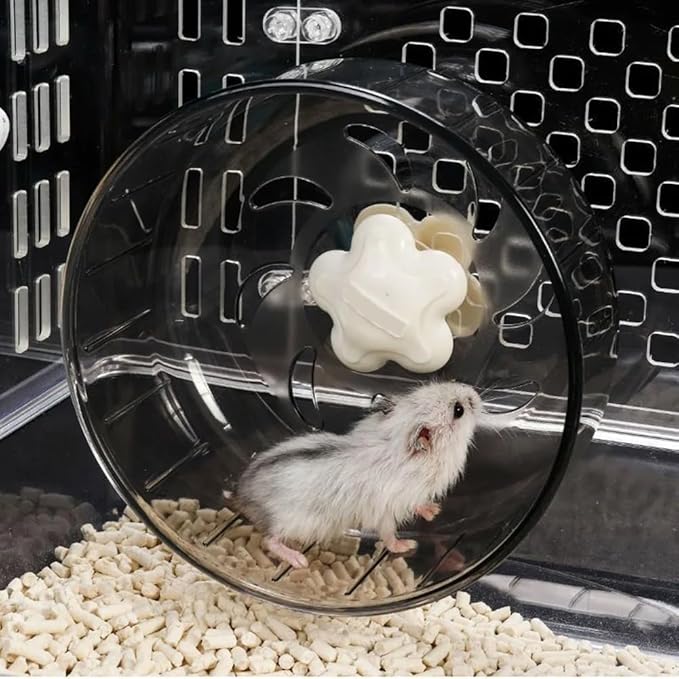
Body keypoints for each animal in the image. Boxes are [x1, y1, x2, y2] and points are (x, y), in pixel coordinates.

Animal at [233, 381, 482, 569]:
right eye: (458, 410)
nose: (475, 393)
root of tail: (241, 495)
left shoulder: (413, 496)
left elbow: (420, 504)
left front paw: (434, 510)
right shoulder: (387, 511)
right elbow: (389, 534)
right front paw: (408, 545)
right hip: (293, 522)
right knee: (269, 540)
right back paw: (299, 560)